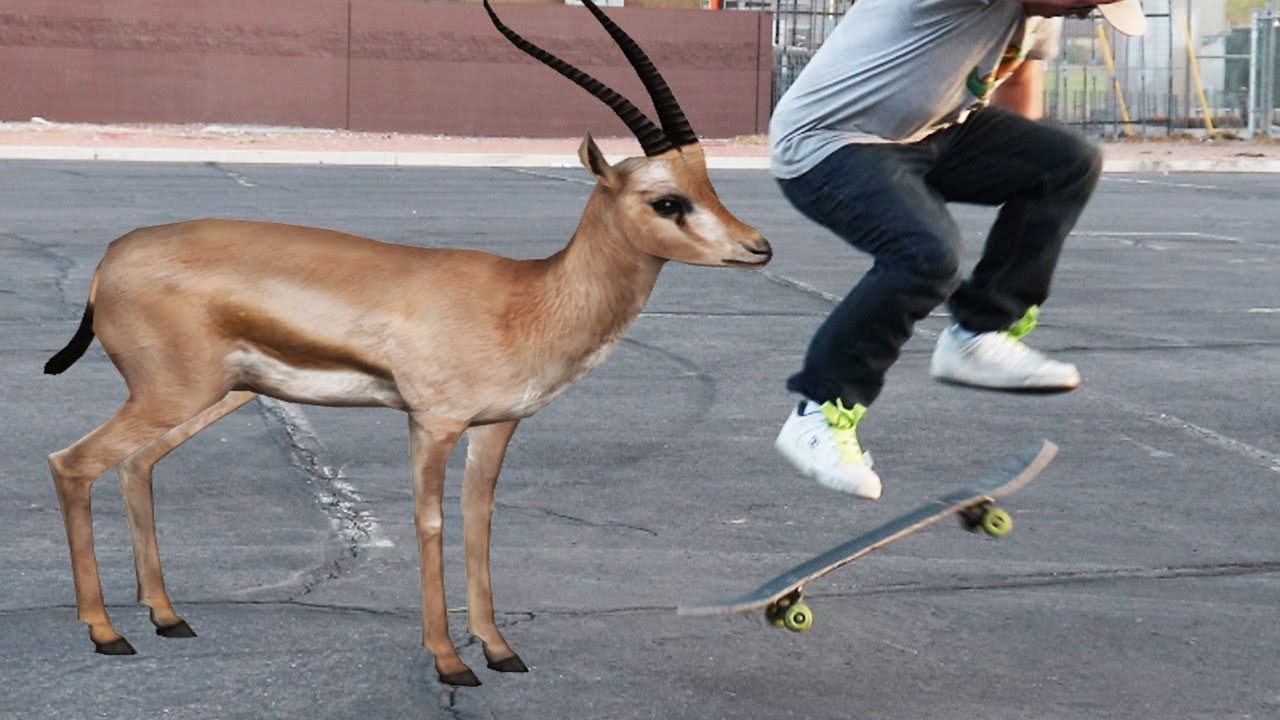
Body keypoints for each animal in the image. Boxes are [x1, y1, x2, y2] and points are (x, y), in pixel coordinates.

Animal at [42, 0, 770, 687]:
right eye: (667, 201)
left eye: (709, 183)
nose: (757, 248)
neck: (529, 297)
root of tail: (109, 258)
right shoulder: (433, 422)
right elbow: (431, 522)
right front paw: (450, 662)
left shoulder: (496, 425)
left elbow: (480, 520)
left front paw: (501, 651)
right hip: (174, 395)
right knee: (72, 463)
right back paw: (107, 632)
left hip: (218, 395)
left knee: (136, 465)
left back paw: (169, 617)